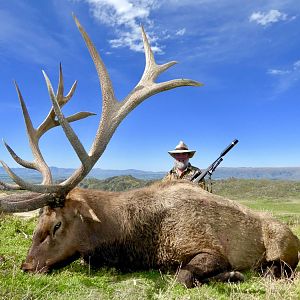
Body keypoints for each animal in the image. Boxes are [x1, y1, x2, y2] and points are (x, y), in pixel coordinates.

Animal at [0, 15, 300, 288]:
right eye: (38, 222)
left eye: (57, 225)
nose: (27, 266)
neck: (134, 239)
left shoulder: (210, 247)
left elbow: (183, 276)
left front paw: (232, 274)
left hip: (283, 245)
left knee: (278, 268)